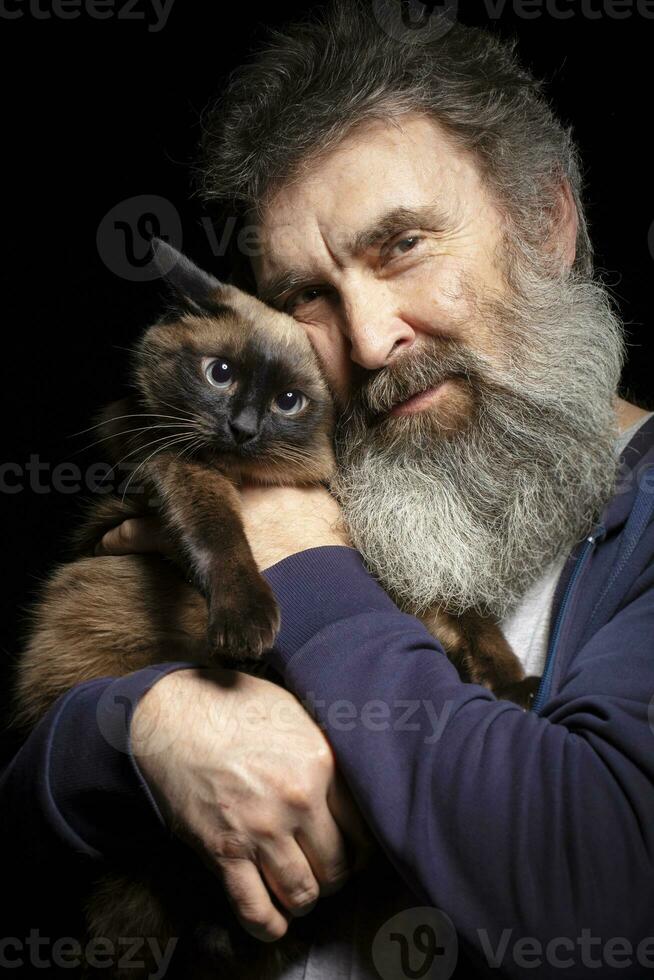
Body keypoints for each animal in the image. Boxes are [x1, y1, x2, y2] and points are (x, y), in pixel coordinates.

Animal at [12, 239, 540, 980]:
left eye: (289, 401)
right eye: (220, 373)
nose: (241, 428)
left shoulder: (373, 536)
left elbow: (460, 611)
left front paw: (511, 681)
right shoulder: (174, 465)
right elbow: (219, 532)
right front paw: (247, 623)